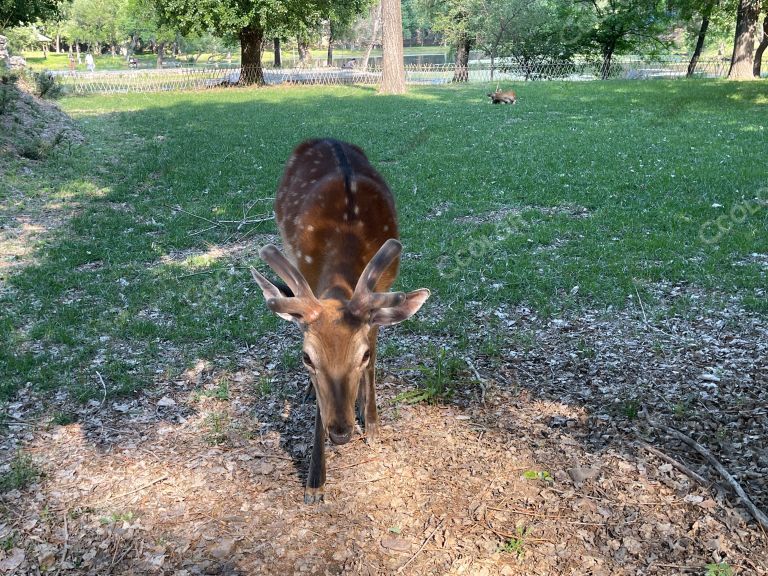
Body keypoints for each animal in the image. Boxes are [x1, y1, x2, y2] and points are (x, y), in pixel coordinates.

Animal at [252, 140, 432, 504]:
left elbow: (375, 362)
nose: (341, 432)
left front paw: (373, 424)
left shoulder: (381, 295)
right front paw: (315, 484)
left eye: (361, 355)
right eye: (307, 357)